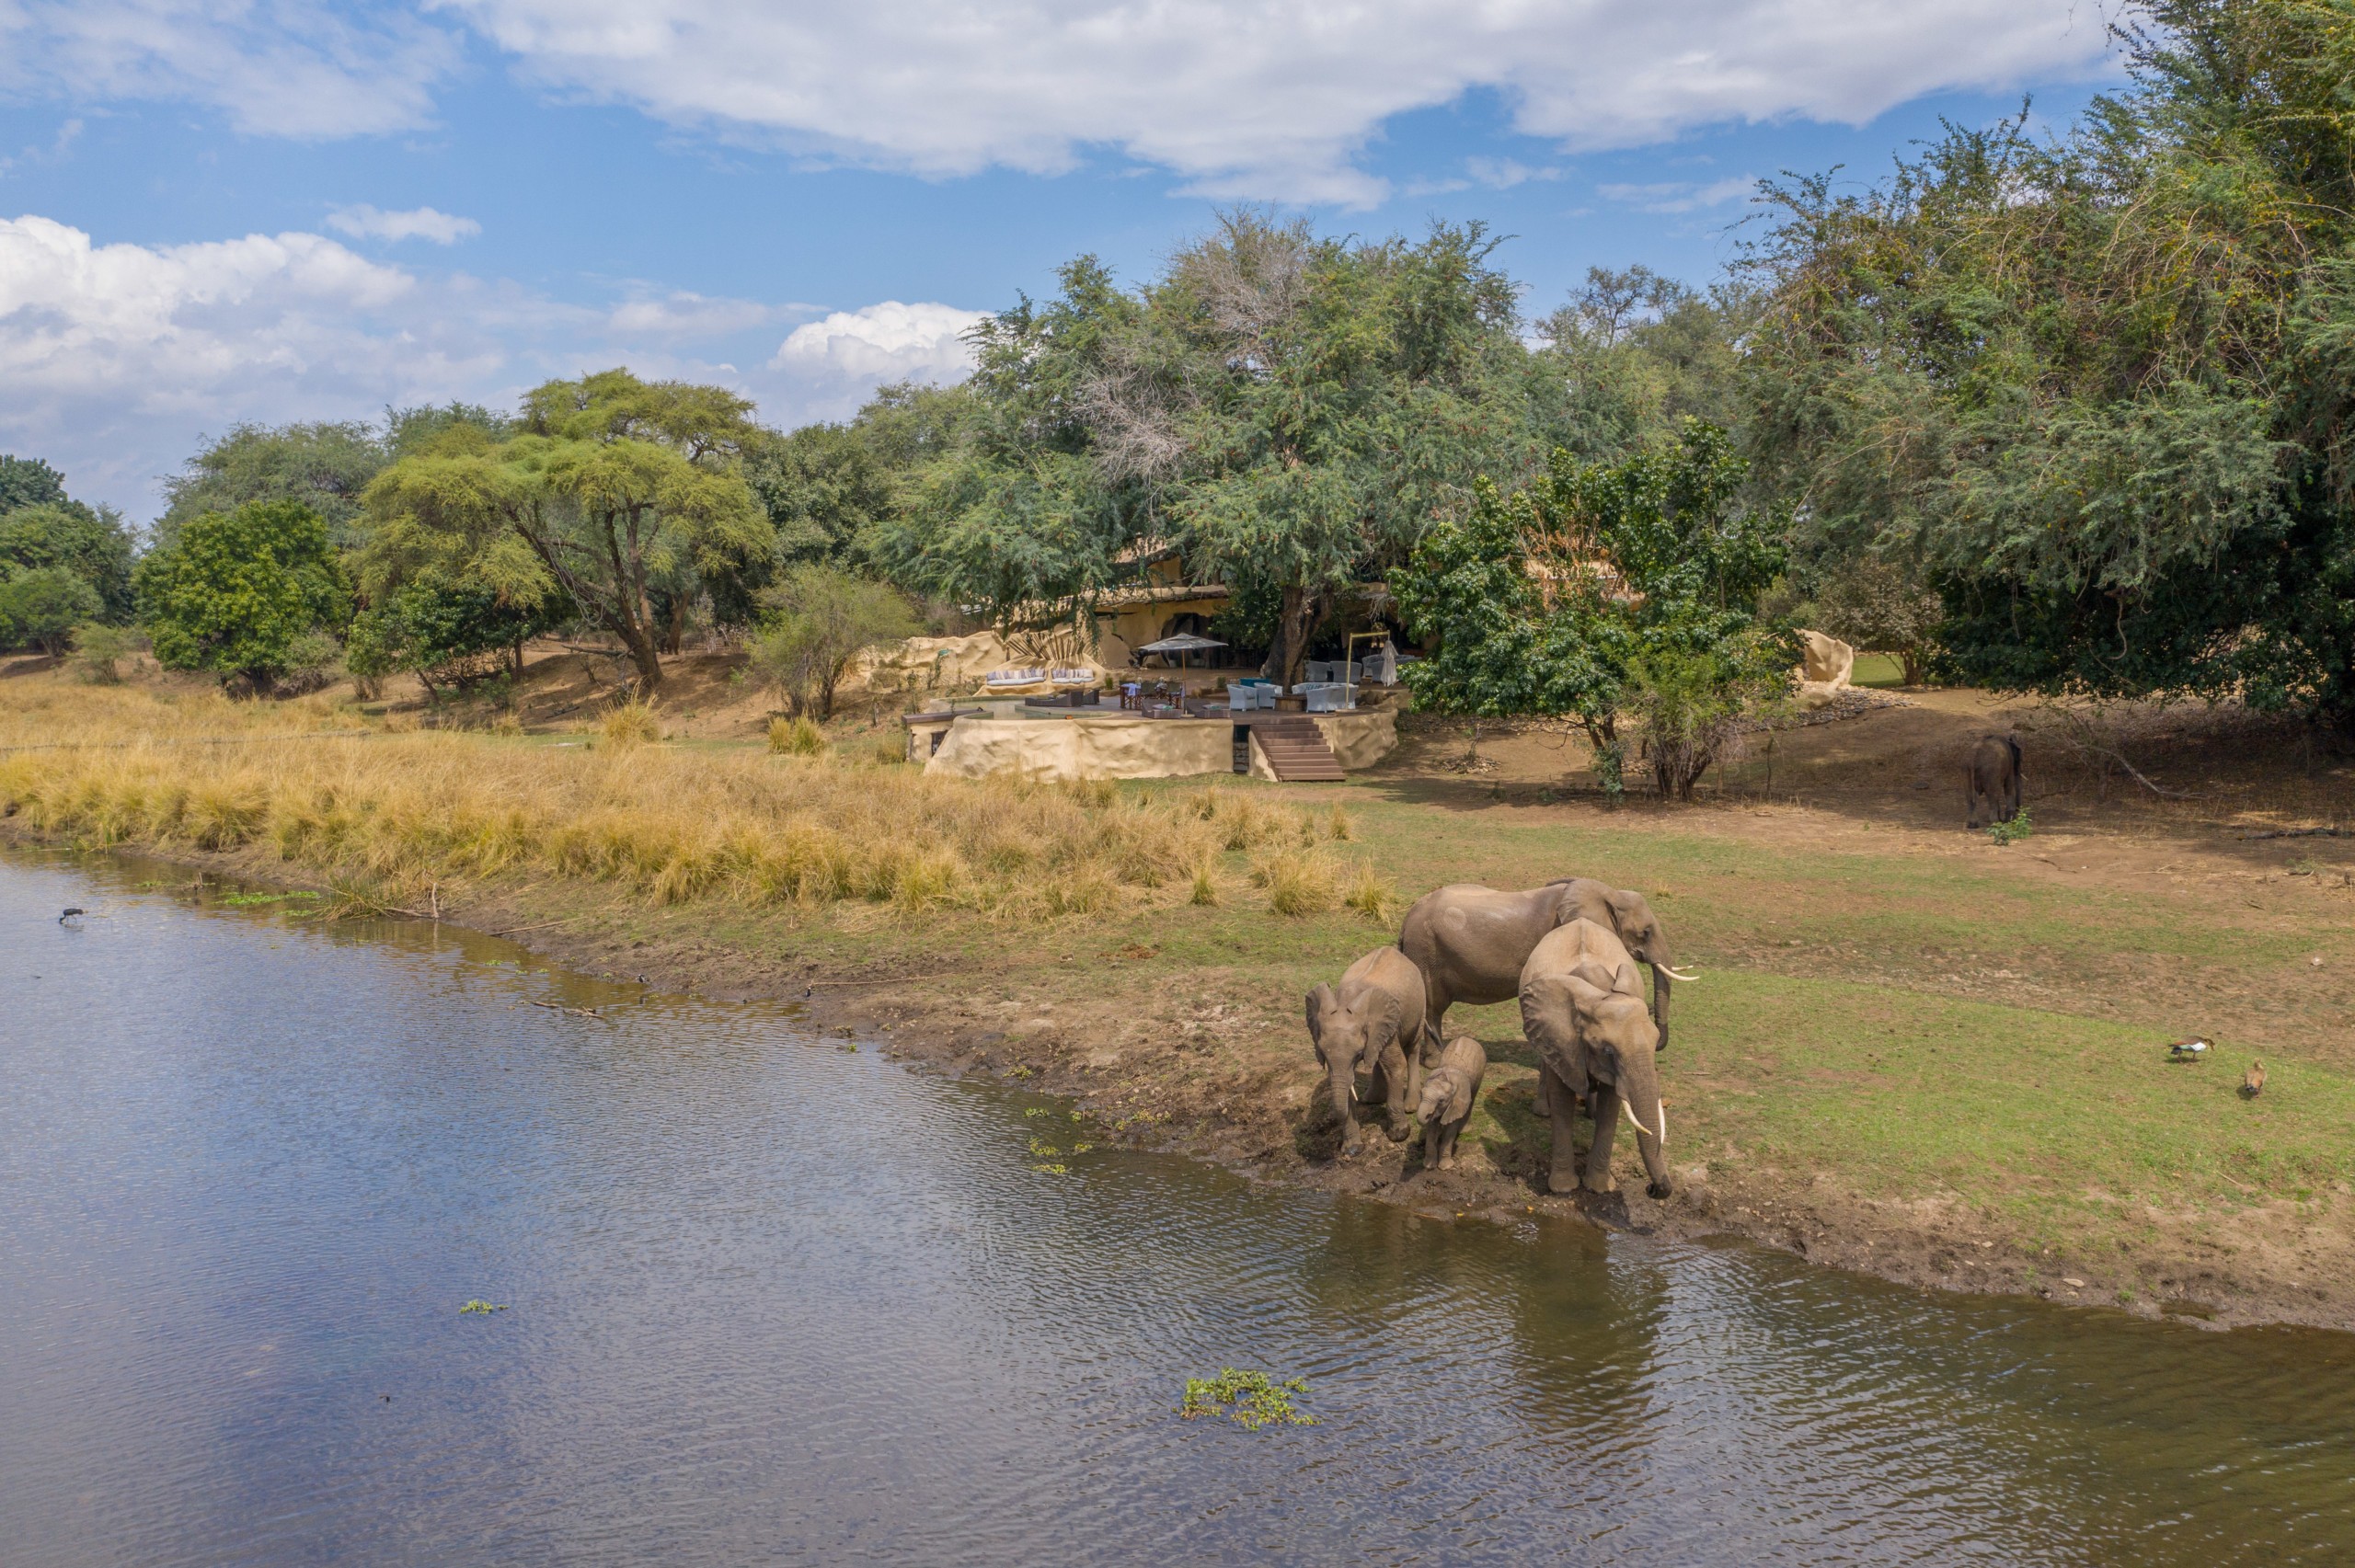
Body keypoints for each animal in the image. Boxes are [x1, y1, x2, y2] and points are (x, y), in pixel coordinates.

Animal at [1300, 942, 1422, 1149]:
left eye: (1358, 1053)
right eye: (1323, 1053)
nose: (1327, 1123)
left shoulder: (1387, 1024)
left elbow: (1395, 1065)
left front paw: (1399, 1135)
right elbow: (1346, 1078)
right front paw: (1353, 1148)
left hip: (1421, 1004)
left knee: (1413, 1047)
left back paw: (1411, 1106)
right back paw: (1371, 1100)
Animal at [1394, 871, 1695, 1054]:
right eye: (1645, 933)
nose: (1657, 1039)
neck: (1607, 893)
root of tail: (1406, 921)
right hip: (1426, 951)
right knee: (1433, 1008)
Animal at [1403, 1031, 1478, 1167]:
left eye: (1441, 1101)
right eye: (1422, 1094)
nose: (1427, 1114)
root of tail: (1466, 1037)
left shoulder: (1455, 1103)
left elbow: (1450, 1130)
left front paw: (1445, 1167)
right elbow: (1432, 1127)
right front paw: (1429, 1166)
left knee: (1472, 1099)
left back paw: (1464, 1130)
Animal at [1516, 918, 1667, 1196]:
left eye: (1654, 1044)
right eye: (1608, 1051)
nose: (1652, 1189)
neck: (1600, 993)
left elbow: (1611, 1108)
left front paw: (1599, 1188)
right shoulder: (1562, 1037)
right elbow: (1562, 1100)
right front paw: (1564, 1189)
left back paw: (1591, 1112)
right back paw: (1543, 1110)